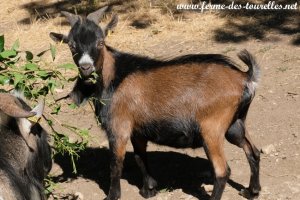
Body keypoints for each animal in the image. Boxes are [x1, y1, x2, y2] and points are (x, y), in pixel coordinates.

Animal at [50, 7, 262, 199]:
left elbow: (116, 164)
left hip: (212, 129)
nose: (86, 68)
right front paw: (149, 189)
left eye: (100, 42)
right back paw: (251, 191)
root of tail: (245, 78)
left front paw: (112, 196)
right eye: (71, 45)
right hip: (236, 124)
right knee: (254, 151)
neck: (115, 77)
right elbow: (140, 157)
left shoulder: (119, 127)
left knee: (222, 171)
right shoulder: (138, 131)